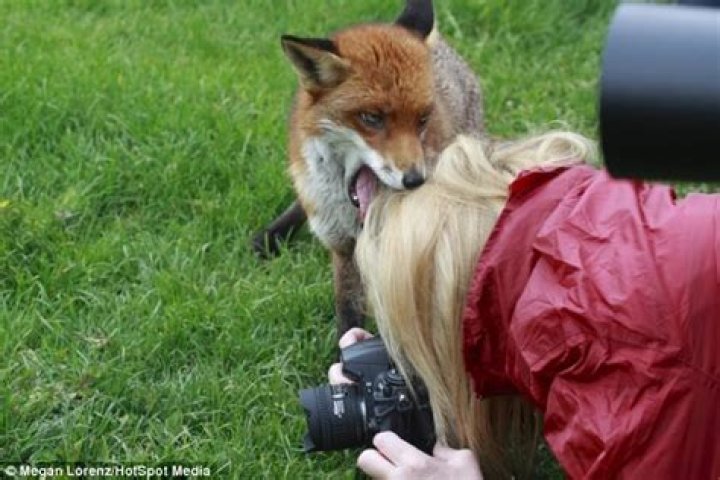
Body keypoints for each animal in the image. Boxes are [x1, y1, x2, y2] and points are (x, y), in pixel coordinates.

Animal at [255, 0, 484, 337]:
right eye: (371, 118)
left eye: (423, 119)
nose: (415, 180)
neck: (355, 219)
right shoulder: (343, 247)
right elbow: (347, 313)